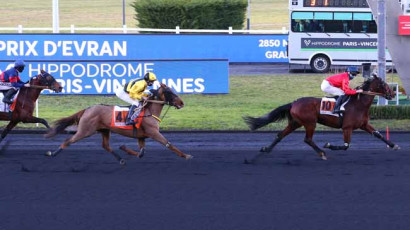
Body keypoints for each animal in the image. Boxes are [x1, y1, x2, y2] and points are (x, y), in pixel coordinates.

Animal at [45, 83, 193, 164]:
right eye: (168, 92)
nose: (181, 103)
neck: (149, 110)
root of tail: (88, 109)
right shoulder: (153, 132)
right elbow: (169, 144)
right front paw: (186, 155)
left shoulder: (141, 136)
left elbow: (141, 153)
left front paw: (123, 147)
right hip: (85, 130)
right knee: (69, 141)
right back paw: (53, 153)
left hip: (104, 130)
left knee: (105, 146)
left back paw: (121, 159)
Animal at [243, 73, 400, 160]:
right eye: (383, 83)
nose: (392, 93)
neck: (358, 104)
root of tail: (294, 102)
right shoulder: (347, 127)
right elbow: (346, 146)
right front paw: (328, 145)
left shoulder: (363, 124)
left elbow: (378, 134)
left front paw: (394, 145)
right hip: (310, 123)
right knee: (307, 139)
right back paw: (322, 152)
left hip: (295, 122)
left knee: (280, 135)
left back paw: (266, 149)